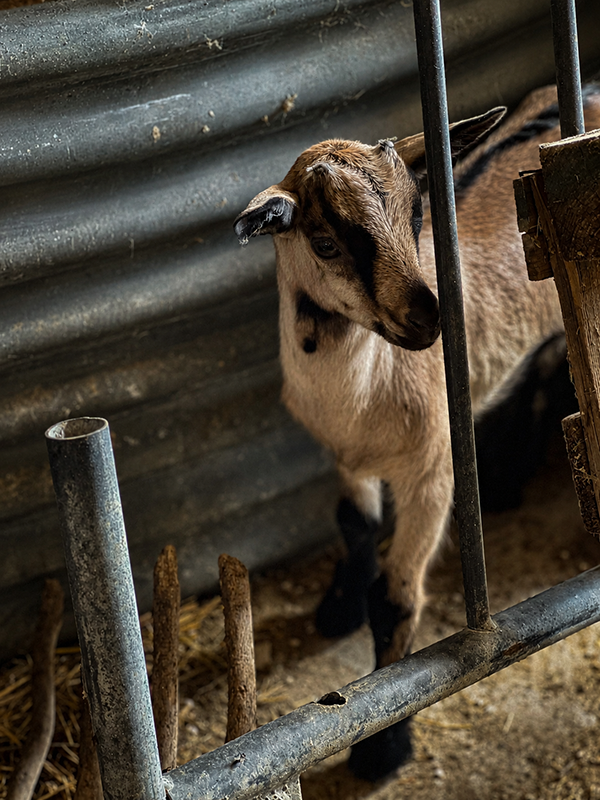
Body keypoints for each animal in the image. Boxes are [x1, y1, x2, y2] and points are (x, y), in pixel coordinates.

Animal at [233, 84, 600, 781]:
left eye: (413, 215)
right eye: (324, 242)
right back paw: (506, 482)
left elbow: (398, 601)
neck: (360, 397)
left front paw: (382, 750)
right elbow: (355, 526)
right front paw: (336, 610)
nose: (428, 317)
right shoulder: (345, 457)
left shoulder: (431, 472)